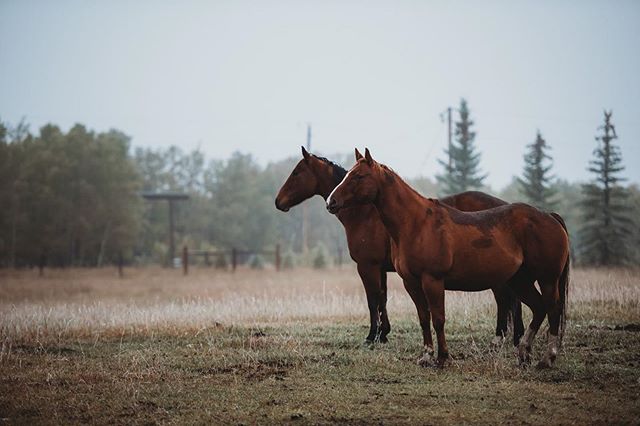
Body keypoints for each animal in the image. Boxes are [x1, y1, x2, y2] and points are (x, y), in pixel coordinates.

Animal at [272, 148, 524, 348]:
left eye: (296, 173)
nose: (278, 201)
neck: (366, 213)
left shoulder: (367, 266)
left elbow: (372, 299)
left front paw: (372, 336)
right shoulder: (381, 269)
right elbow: (382, 298)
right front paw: (383, 334)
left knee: (506, 299)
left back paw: (505, 336)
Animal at [328, 149, 568, 366]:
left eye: (359, 176)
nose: (331, 201)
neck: (416, 224)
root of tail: (549, 216)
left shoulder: (433, 280)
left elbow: (438, 319)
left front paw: (443, 357)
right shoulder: (411, 283)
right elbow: (424, 319)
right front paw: (426, 356)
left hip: (547, 279)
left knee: (552, 309)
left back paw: (547, 358)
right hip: (520, 280)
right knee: (539, 308)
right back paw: (524, 353)